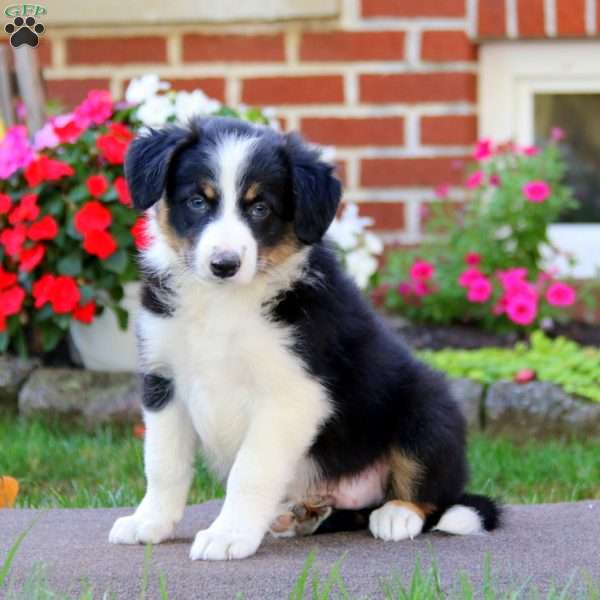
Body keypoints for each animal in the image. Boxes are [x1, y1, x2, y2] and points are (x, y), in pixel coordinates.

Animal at [109, 118, 502, 564]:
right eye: (197, 201)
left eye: (260, 208)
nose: (224, 264)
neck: (224, 303)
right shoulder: (164, 379)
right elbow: (163, 463)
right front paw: (148, 522)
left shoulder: (290, 393)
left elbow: (251, 470)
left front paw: (228, 535)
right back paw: (300, 515)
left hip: (428, 406)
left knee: (433, 491)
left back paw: (396, 514)